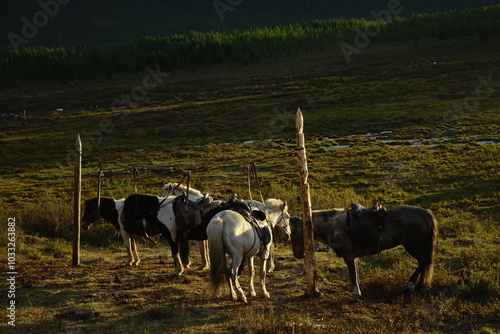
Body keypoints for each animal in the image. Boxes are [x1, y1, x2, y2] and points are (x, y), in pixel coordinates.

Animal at [290, 205, 438, 296]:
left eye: (294, 232)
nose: (297, 254)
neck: (333, 227)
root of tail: (425, 213)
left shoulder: (349, 257)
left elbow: (352, 275)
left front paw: (357, 292)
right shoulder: (354, 257)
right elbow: (356, 274)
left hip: (413, 246)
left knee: (423, 261)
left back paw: (411, 285)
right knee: (425, 263)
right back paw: (419, 286)